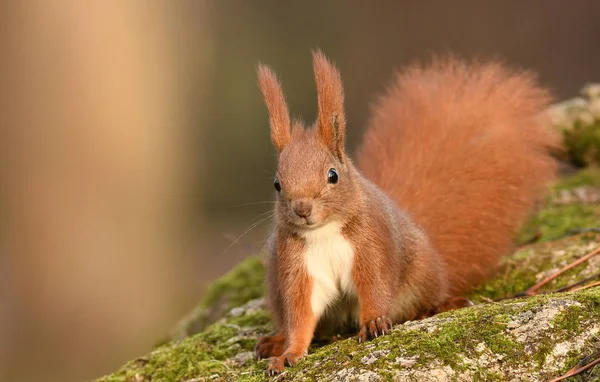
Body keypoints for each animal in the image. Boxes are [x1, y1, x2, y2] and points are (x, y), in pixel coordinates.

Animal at [252, 49, 556, 374]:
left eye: (332, 175)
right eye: (277, 184)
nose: (302, 209)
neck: (323, 233)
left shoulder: (371, 246)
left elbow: (375, 287)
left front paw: (374, 322)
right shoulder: (297, 268)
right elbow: (300, 315)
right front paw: (289, 353)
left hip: (421, 273)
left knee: (428, 296)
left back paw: (441, 305)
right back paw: (274, 341)